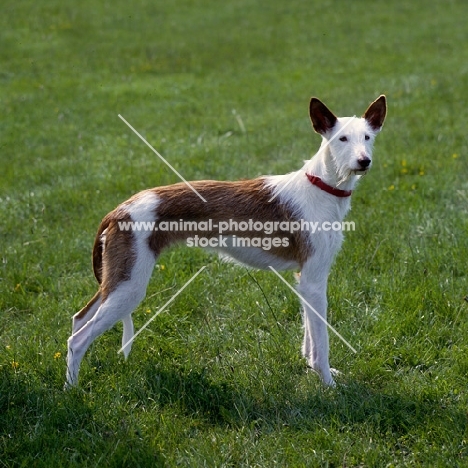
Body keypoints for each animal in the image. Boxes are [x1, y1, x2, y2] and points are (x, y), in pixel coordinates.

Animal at [66, 94, 388, 388]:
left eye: (368, 137)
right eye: (342, 139)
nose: (364, 161)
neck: (321, 187)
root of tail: (118, 210)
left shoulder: (306, 279)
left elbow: (310, 338)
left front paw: (314, 371)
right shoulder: (313, 279)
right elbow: (322, 342)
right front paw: (328, 384)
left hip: (116, 280)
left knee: (78, 319)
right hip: (130, 285)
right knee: (77, 339)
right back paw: (73, 393)